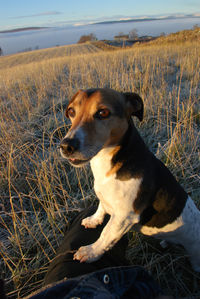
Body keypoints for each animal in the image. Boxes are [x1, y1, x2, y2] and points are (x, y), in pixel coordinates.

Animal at [60, 88, 200, 272]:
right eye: (71, 111)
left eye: (103, 112)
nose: (66, 146)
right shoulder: (105, 199)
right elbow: (101, 207)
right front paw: (94, 220)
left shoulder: (124, 217)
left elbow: (105, 235)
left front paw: (90, 252)